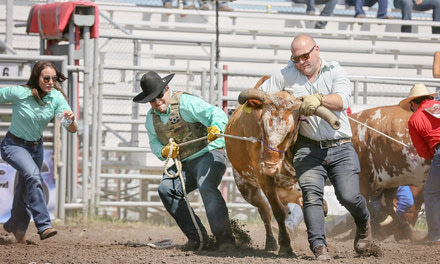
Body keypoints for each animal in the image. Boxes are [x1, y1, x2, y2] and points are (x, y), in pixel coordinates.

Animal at [225, 76, 338, 256]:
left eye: (290, 132)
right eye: (262, 126)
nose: (270, 167)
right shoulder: (264, 180)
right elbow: (277, 212)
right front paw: (285, 246)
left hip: (286, 189)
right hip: (247, 188)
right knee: (265, 209)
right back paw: (271, 242)